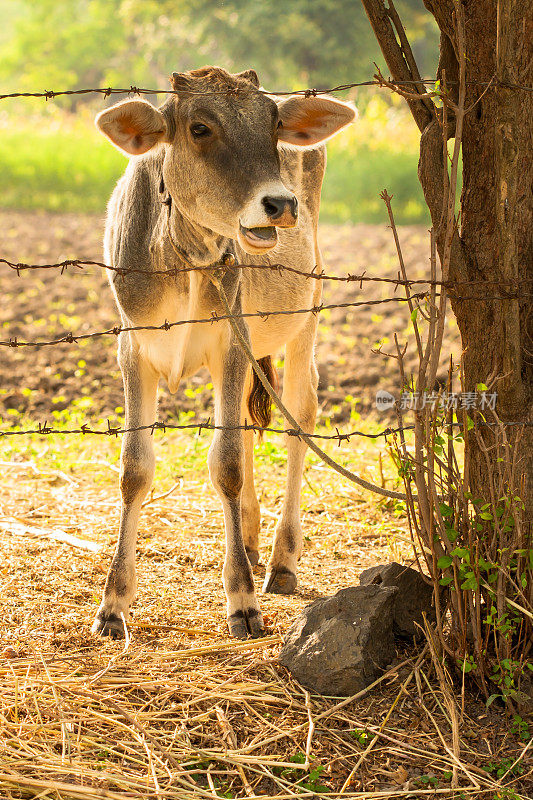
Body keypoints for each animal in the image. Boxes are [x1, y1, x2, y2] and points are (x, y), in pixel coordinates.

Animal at [93, 70, 356, 644]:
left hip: (309, 306)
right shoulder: (133, 345)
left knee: (299, 416)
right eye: (199, 127)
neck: (186, 256)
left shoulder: (231, 343)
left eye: (273, 123)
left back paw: (281, 559)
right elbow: (135, 469)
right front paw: (113, 604)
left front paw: (242, 600)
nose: (280, 203)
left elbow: (227, 463)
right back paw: (252, 540)